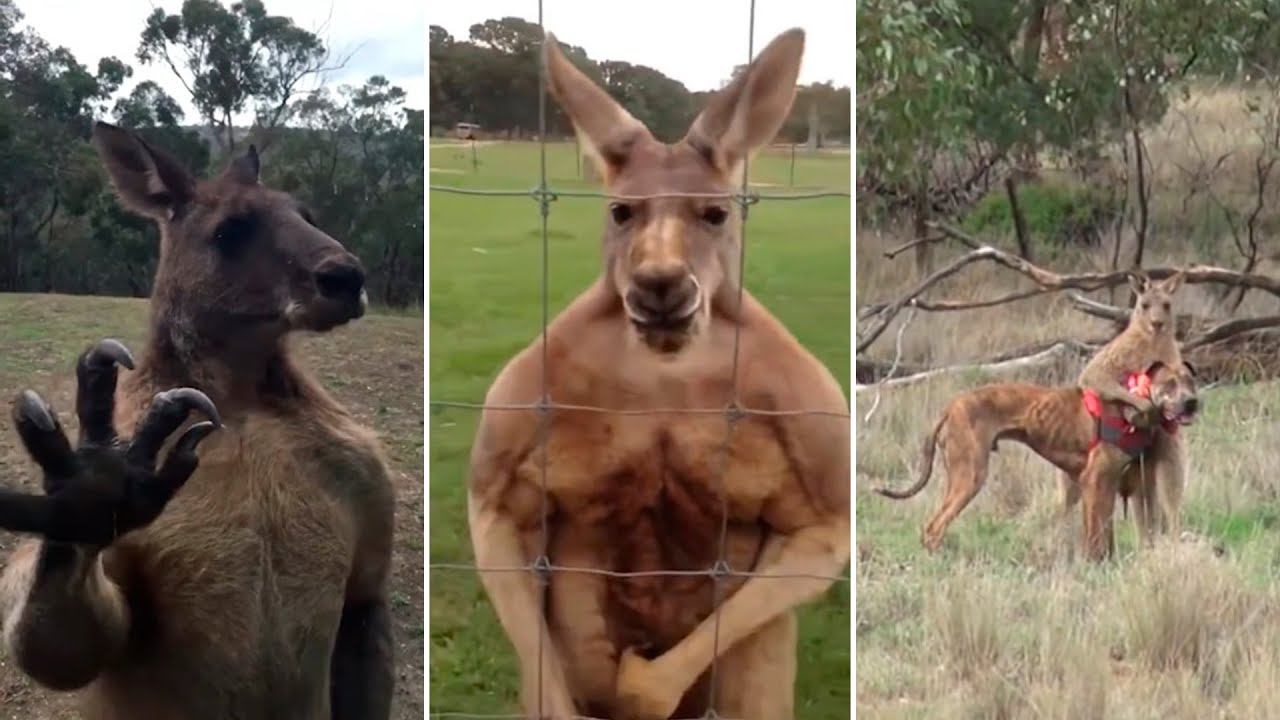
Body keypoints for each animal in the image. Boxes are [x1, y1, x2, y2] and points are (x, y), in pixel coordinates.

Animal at [875, 361, 1192, 558]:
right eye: (1170, 384)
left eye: (1191, 381)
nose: (1192, 402)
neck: (1134, 407)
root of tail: (950, 407)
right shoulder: (1096, 482)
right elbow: (1096, 538)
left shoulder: (1113, 485)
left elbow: (1106, 534)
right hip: (970, 477)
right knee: (934, 527)